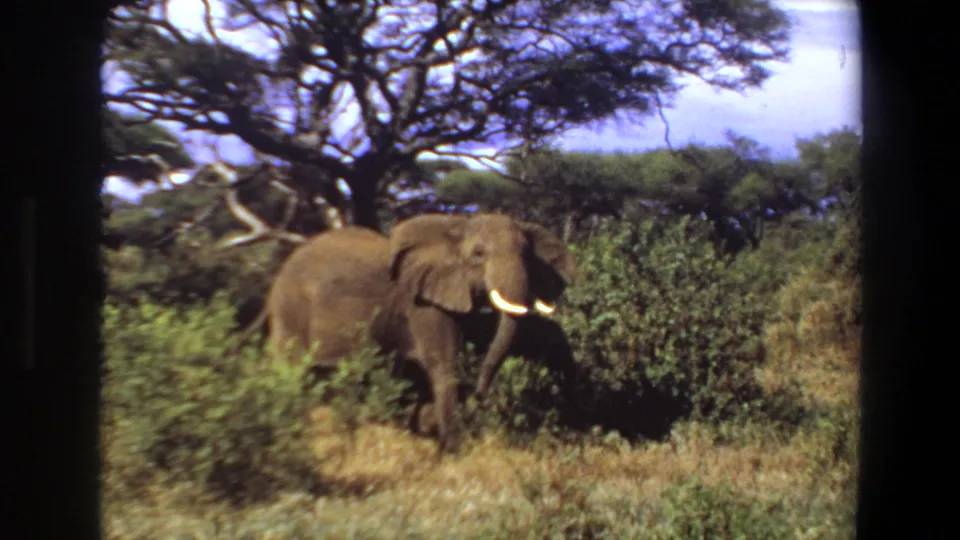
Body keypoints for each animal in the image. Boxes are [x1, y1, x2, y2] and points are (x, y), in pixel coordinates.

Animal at [255, 212, 577, 455]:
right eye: (478, 255)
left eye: (528, 257)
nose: (480, 394)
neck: (455, 226)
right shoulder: (421, 303)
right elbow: (442, 368)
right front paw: (453, 451)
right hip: (290, 311)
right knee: (291, 372)